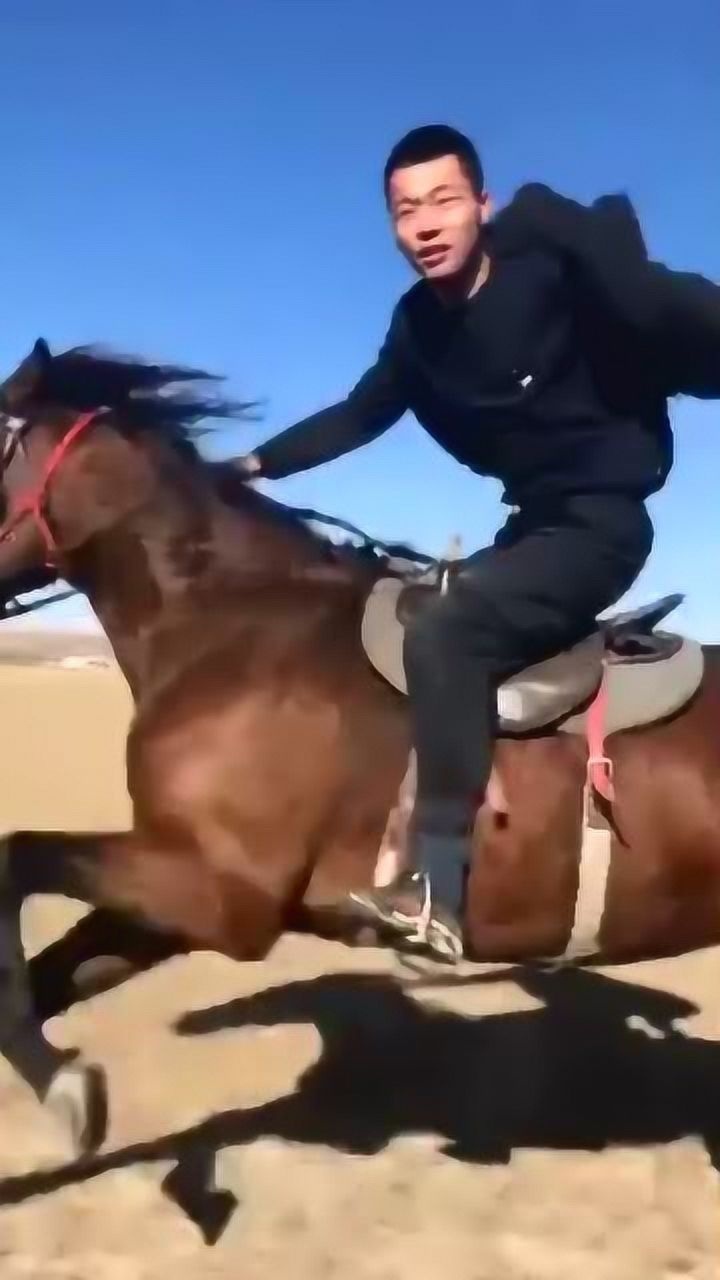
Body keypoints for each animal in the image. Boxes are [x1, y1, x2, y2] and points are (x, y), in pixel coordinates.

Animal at [1, 338, 720, 1147]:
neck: (234, 629)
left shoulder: (224, 896)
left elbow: (17, 857)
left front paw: (64, 1088)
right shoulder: (176, 885)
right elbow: (50, 967)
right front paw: (61, 1085)